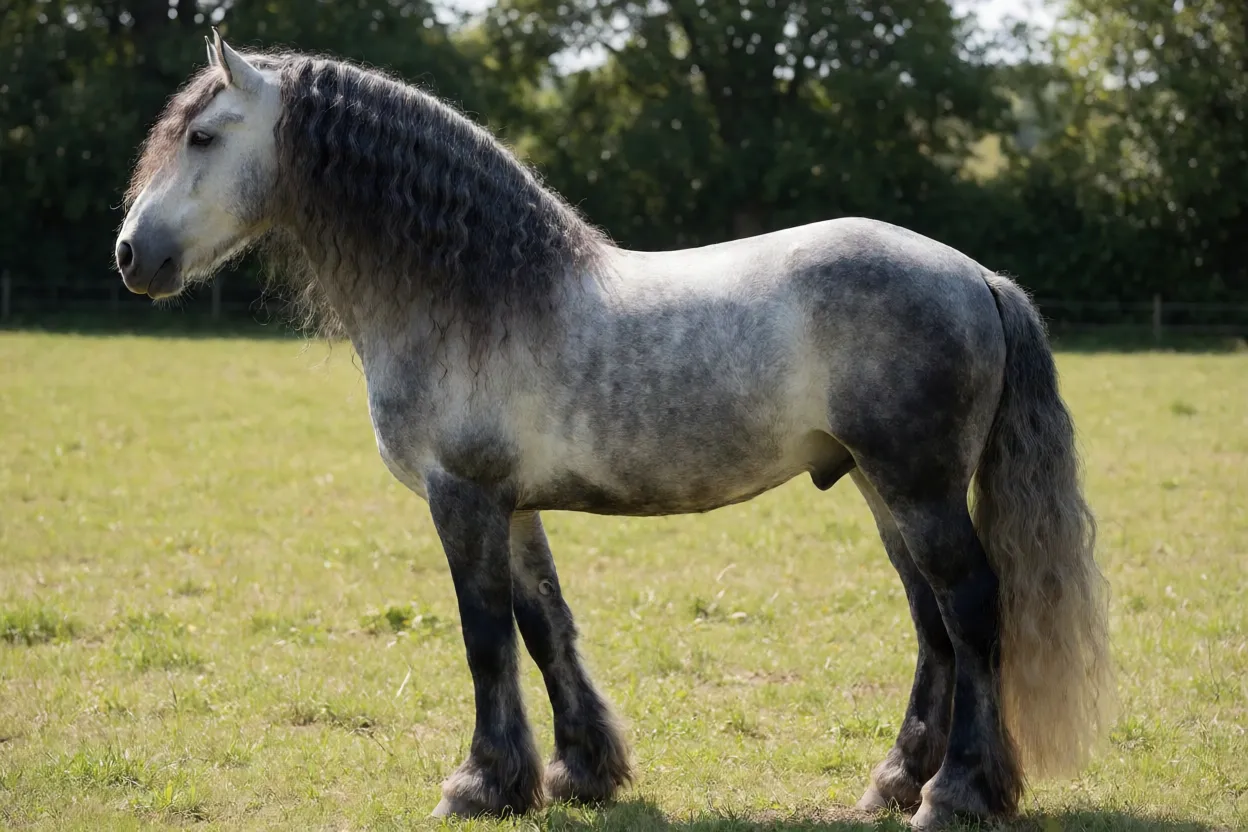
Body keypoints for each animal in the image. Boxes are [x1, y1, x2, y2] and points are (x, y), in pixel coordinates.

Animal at [114, 31, 1115, 828]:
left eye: (203, 136)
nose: (132, 255)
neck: (475, 296)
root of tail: (976, 276)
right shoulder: (511, 505)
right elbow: (544, 625)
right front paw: (578, 772)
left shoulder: (460, 498)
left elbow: (485, 636)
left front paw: (481, 785)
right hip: (882, 488)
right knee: (932, 625)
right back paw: (895, 783)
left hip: (920, 488)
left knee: (973, 611)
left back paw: (958, 794)